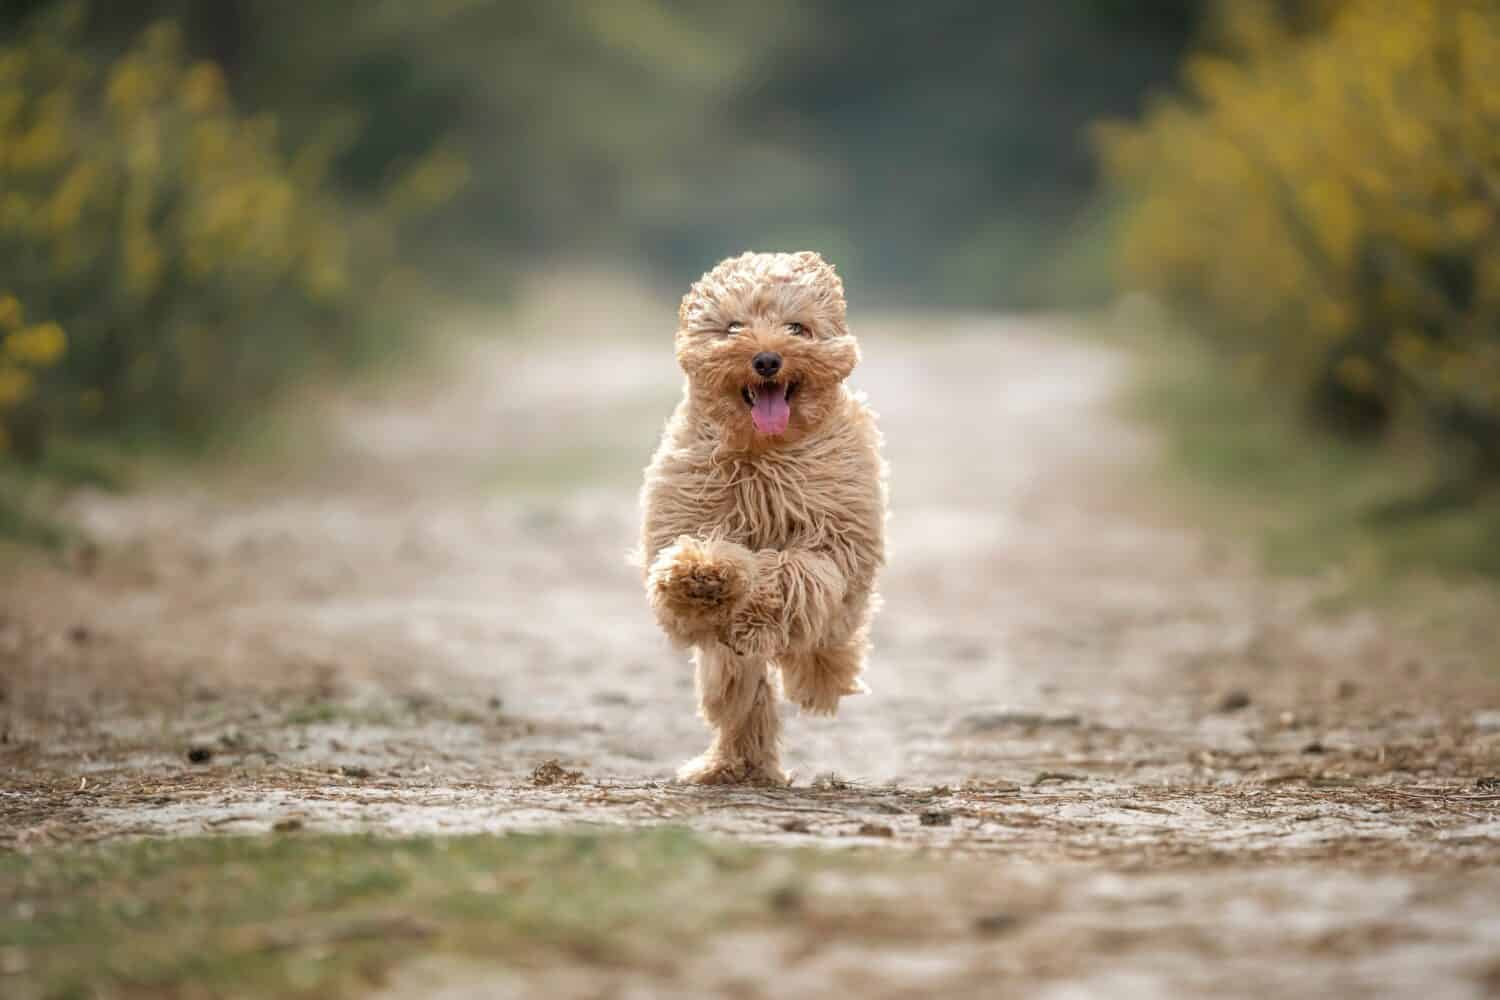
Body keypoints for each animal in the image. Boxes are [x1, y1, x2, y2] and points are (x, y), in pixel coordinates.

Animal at [636, 254, 888, 785]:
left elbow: (792, 573)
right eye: (733, 327)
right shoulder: (686, 510)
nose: (768, 360)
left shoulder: (832, 540)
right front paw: (702, 575)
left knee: (826, 642)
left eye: (797, 328)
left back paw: (819, 679)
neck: (763, 454)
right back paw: (735, 764)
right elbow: (688, 569)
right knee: (739, 693)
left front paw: (755, 611)